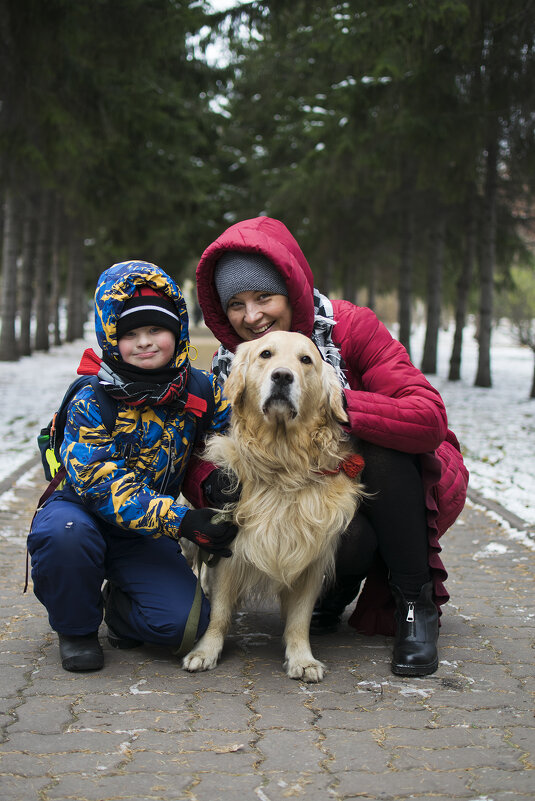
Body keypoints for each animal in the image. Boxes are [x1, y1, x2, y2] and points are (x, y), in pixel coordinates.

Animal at [183, 330, 364, 680]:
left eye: (306, 359)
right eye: (266, 354)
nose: (282, 376)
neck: (283, 464)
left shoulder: (311, 557)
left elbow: (299, 619)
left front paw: (302, 659)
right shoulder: (229, 547)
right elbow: (219, 613)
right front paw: (205, 651)